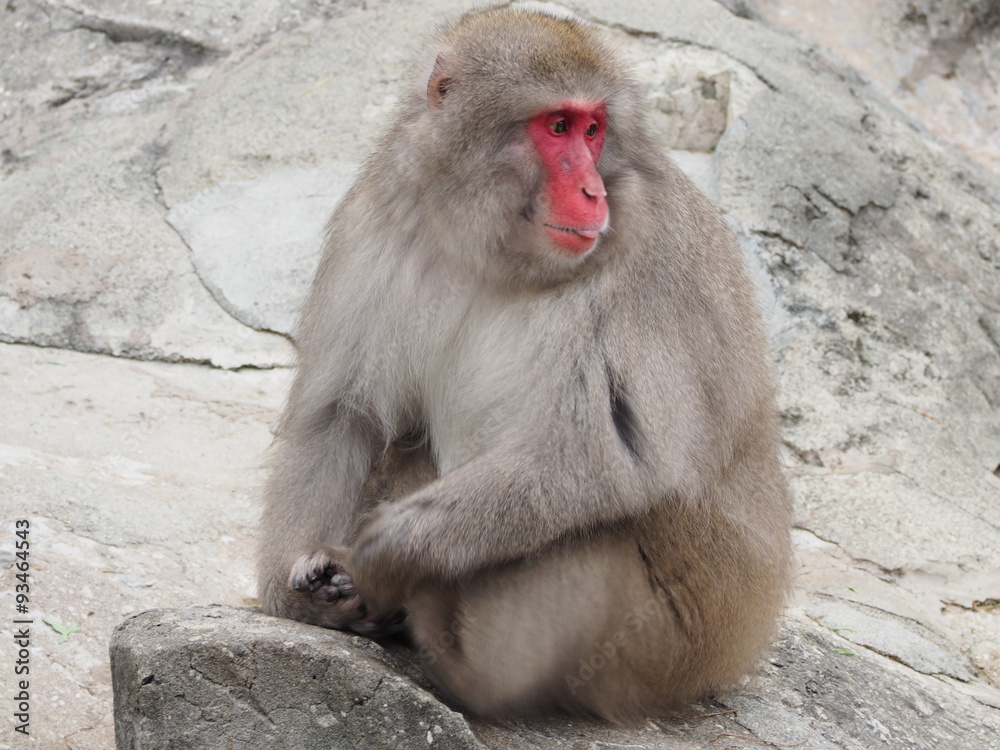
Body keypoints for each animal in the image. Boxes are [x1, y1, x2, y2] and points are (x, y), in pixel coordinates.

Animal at [256, 6, 792, 722]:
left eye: (594, 130)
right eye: (557, 126)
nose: (593, 191)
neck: (490, 244)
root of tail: (740, 646)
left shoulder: (642, 250)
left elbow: (605, 457)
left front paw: (382, 553)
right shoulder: (376, 216)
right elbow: (343, 414)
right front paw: (300, 589)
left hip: (669, 645)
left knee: (585, 531)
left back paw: (456, 654)